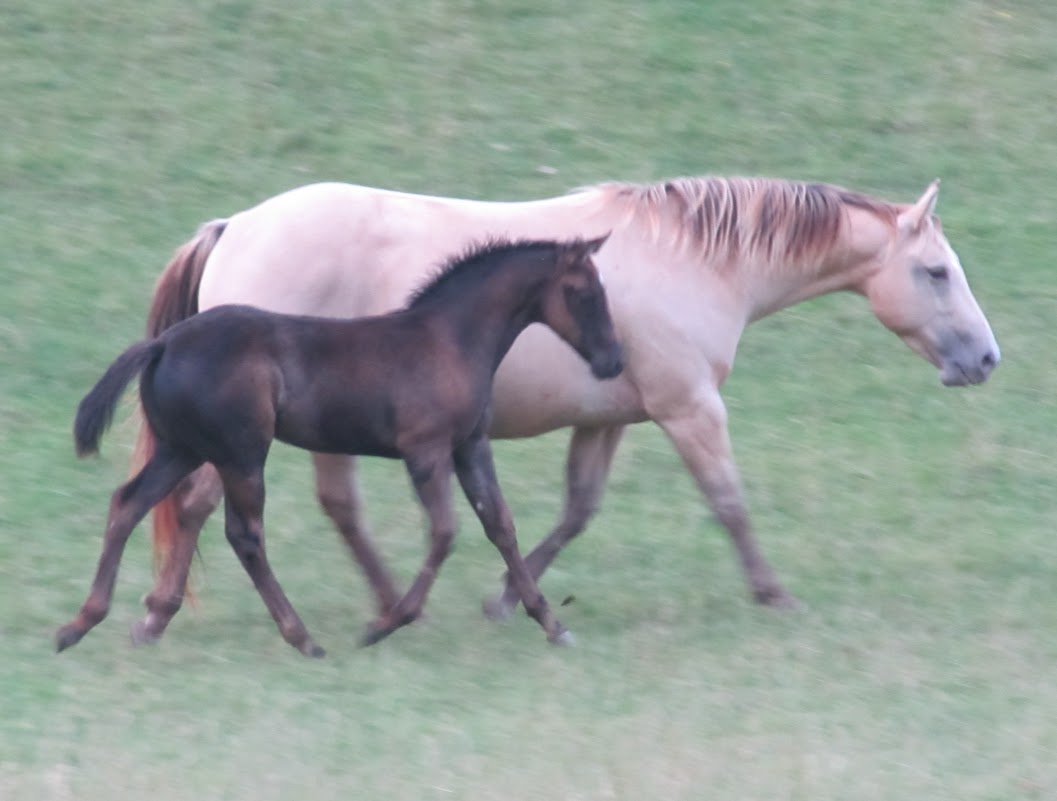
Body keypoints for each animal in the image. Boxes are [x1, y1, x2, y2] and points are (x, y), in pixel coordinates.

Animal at [57, 233, 621, 659]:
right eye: (583, 293)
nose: (613, 361)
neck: (450, 339)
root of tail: (164, 342)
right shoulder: (426, 451)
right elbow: (444, 532)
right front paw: (386, 623)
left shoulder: (470, 446)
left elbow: (500, 526)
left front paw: (551, 623)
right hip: (241, 453)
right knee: (244, 533)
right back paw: (301, 637)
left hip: (183, 449)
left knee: (128, 504)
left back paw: (82, 623)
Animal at [134, 177, 997, 634]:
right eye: (935, 272)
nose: (984, 359)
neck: (694, 260)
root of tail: (234, 226)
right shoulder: (689, 407)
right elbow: (728, 500)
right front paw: (772, 592)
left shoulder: (606, 419)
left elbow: (575, 510)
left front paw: (506, 598)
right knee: (205, 504)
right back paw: (163, 610)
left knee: (330, 505)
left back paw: (388, 604)